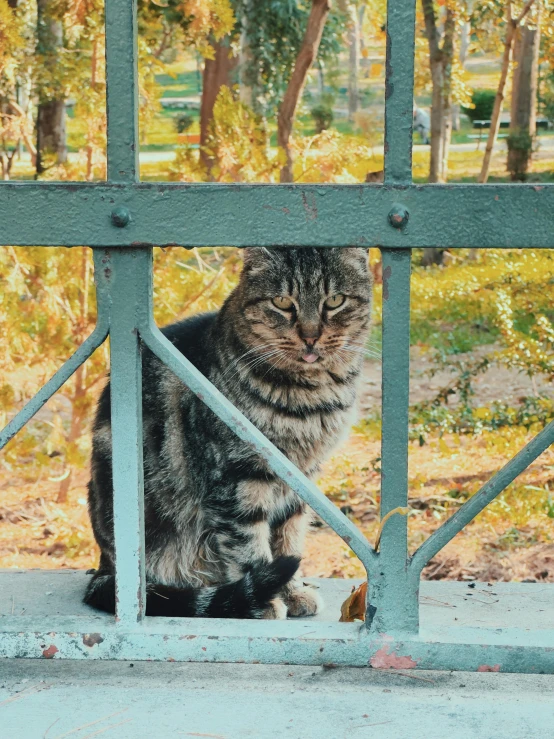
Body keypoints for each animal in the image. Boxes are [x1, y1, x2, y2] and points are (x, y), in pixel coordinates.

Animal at [85, 249, 370, 620]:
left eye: (334, 301)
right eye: (282, 302)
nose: (310, 336)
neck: (311, 398)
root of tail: (105, 566)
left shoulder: (300, 480)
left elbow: (288, 536)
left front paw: (292, 591)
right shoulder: (237, 479)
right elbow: (249, 543)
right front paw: (266, 600)